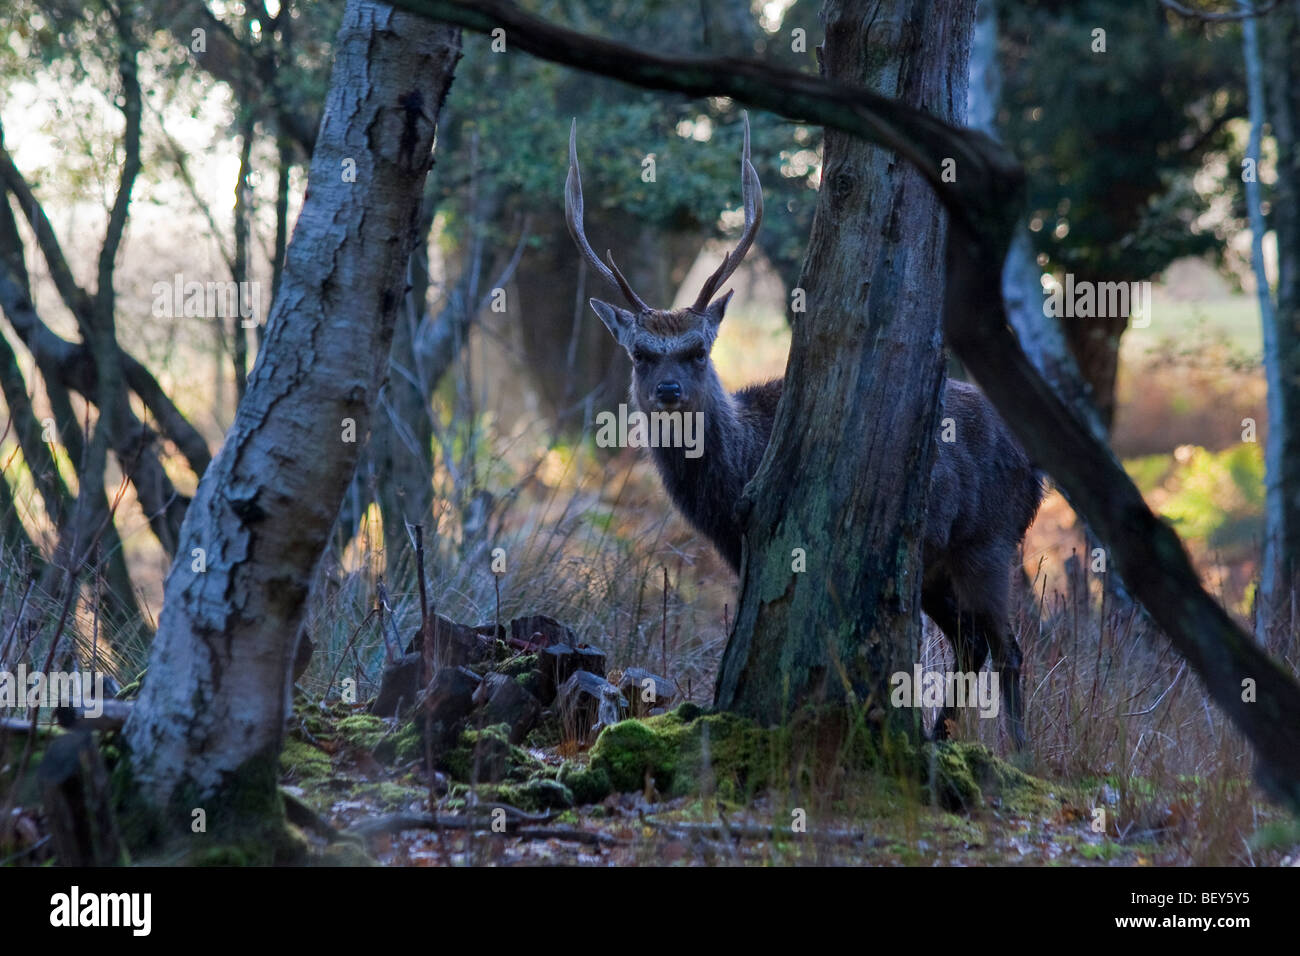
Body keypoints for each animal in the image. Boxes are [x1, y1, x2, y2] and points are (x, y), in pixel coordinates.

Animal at [564, 115, 1040, 749]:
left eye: (697, 351)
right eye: (641, 354)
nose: (668, 392)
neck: (732, 479)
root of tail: (1037, 474)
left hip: (989, 538)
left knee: (1007, 649)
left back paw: (1020, 753)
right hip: (941, 565)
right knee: (973, 643)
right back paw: (941, 734)